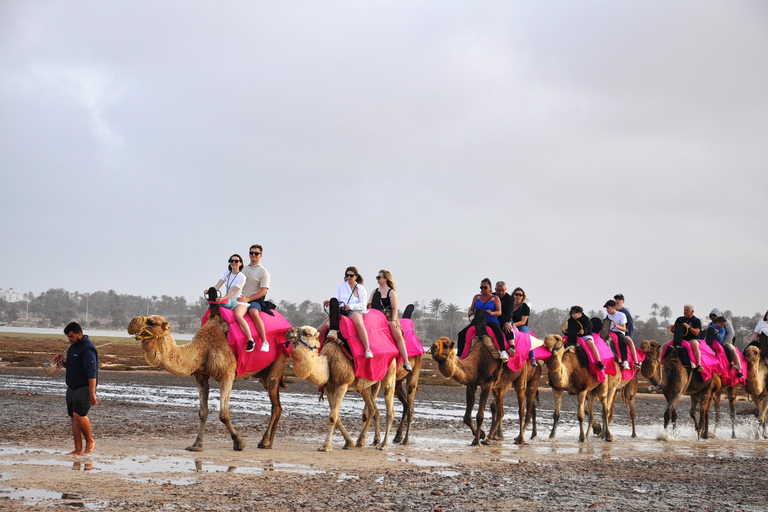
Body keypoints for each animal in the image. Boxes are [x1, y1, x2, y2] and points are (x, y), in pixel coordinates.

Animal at [128, 312, 288, 452]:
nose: (133, 321)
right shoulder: (201, 377)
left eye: (151, 322)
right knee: (278, 406)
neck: (202, 349)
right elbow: (203, 412)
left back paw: (265, 442)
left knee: (275, 404)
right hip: (262, 374)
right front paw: (196, 445)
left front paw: (239, 442)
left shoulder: (227, 375)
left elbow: (223, 414)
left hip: (277, 362)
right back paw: (268, 442)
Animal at [284, 296, 400, 452]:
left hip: (389, 372)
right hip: (365, 385)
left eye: (307, 333)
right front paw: (349, 443)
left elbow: (333, 416)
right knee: (372, 409)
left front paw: (326, 446)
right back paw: (361, 441)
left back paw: (383, 444)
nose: (289, 331)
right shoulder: (328, 387)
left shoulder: (342, 385)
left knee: (389, 409)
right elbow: (336, 415)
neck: (328, 361)